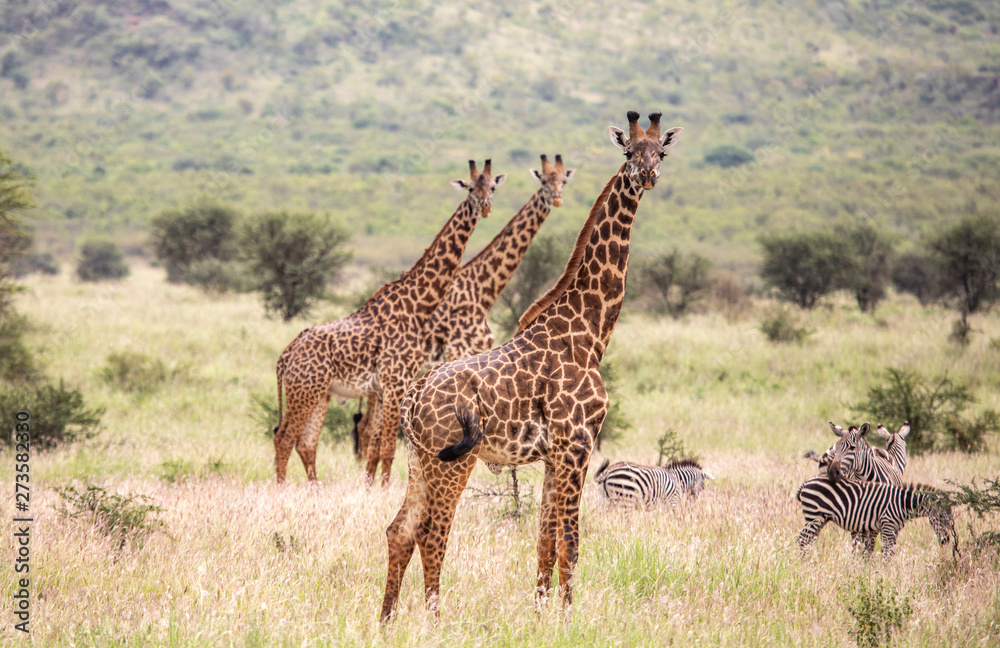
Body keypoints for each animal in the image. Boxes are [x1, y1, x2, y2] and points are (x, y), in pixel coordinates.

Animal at [272, 160, 506, 485]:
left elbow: (379, 445)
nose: (485, 207)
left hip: (318, 395)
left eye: (492, 188)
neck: (417, 306)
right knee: (284, 437)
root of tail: (285, 357)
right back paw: (281, 488)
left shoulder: (387, 388)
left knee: (304, 441)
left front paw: (374, 487)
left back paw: (313, 489)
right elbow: (388, 447)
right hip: (304, 393)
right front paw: (382, 489)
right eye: (471, 188)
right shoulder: (395, 383)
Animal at [353, 154, 576, 462]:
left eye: (563, 181)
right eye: (544, 181)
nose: (557, 199)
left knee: (365, 427)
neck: (481, 289)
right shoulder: (462, 350)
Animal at [379, 112, 682, 621]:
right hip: (452, 460)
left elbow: (544, 542)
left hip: (417, 458)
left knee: (398, 530)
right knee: (431, 533)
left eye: (660, 152)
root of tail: (413, 398)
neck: (589, 334)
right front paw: (568, 618)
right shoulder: (577, 445)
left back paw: (386, 621)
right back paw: (435, 620)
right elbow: (571, 544)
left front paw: (541, 615)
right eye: (628, 152)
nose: (648, 176)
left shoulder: (553, 457)